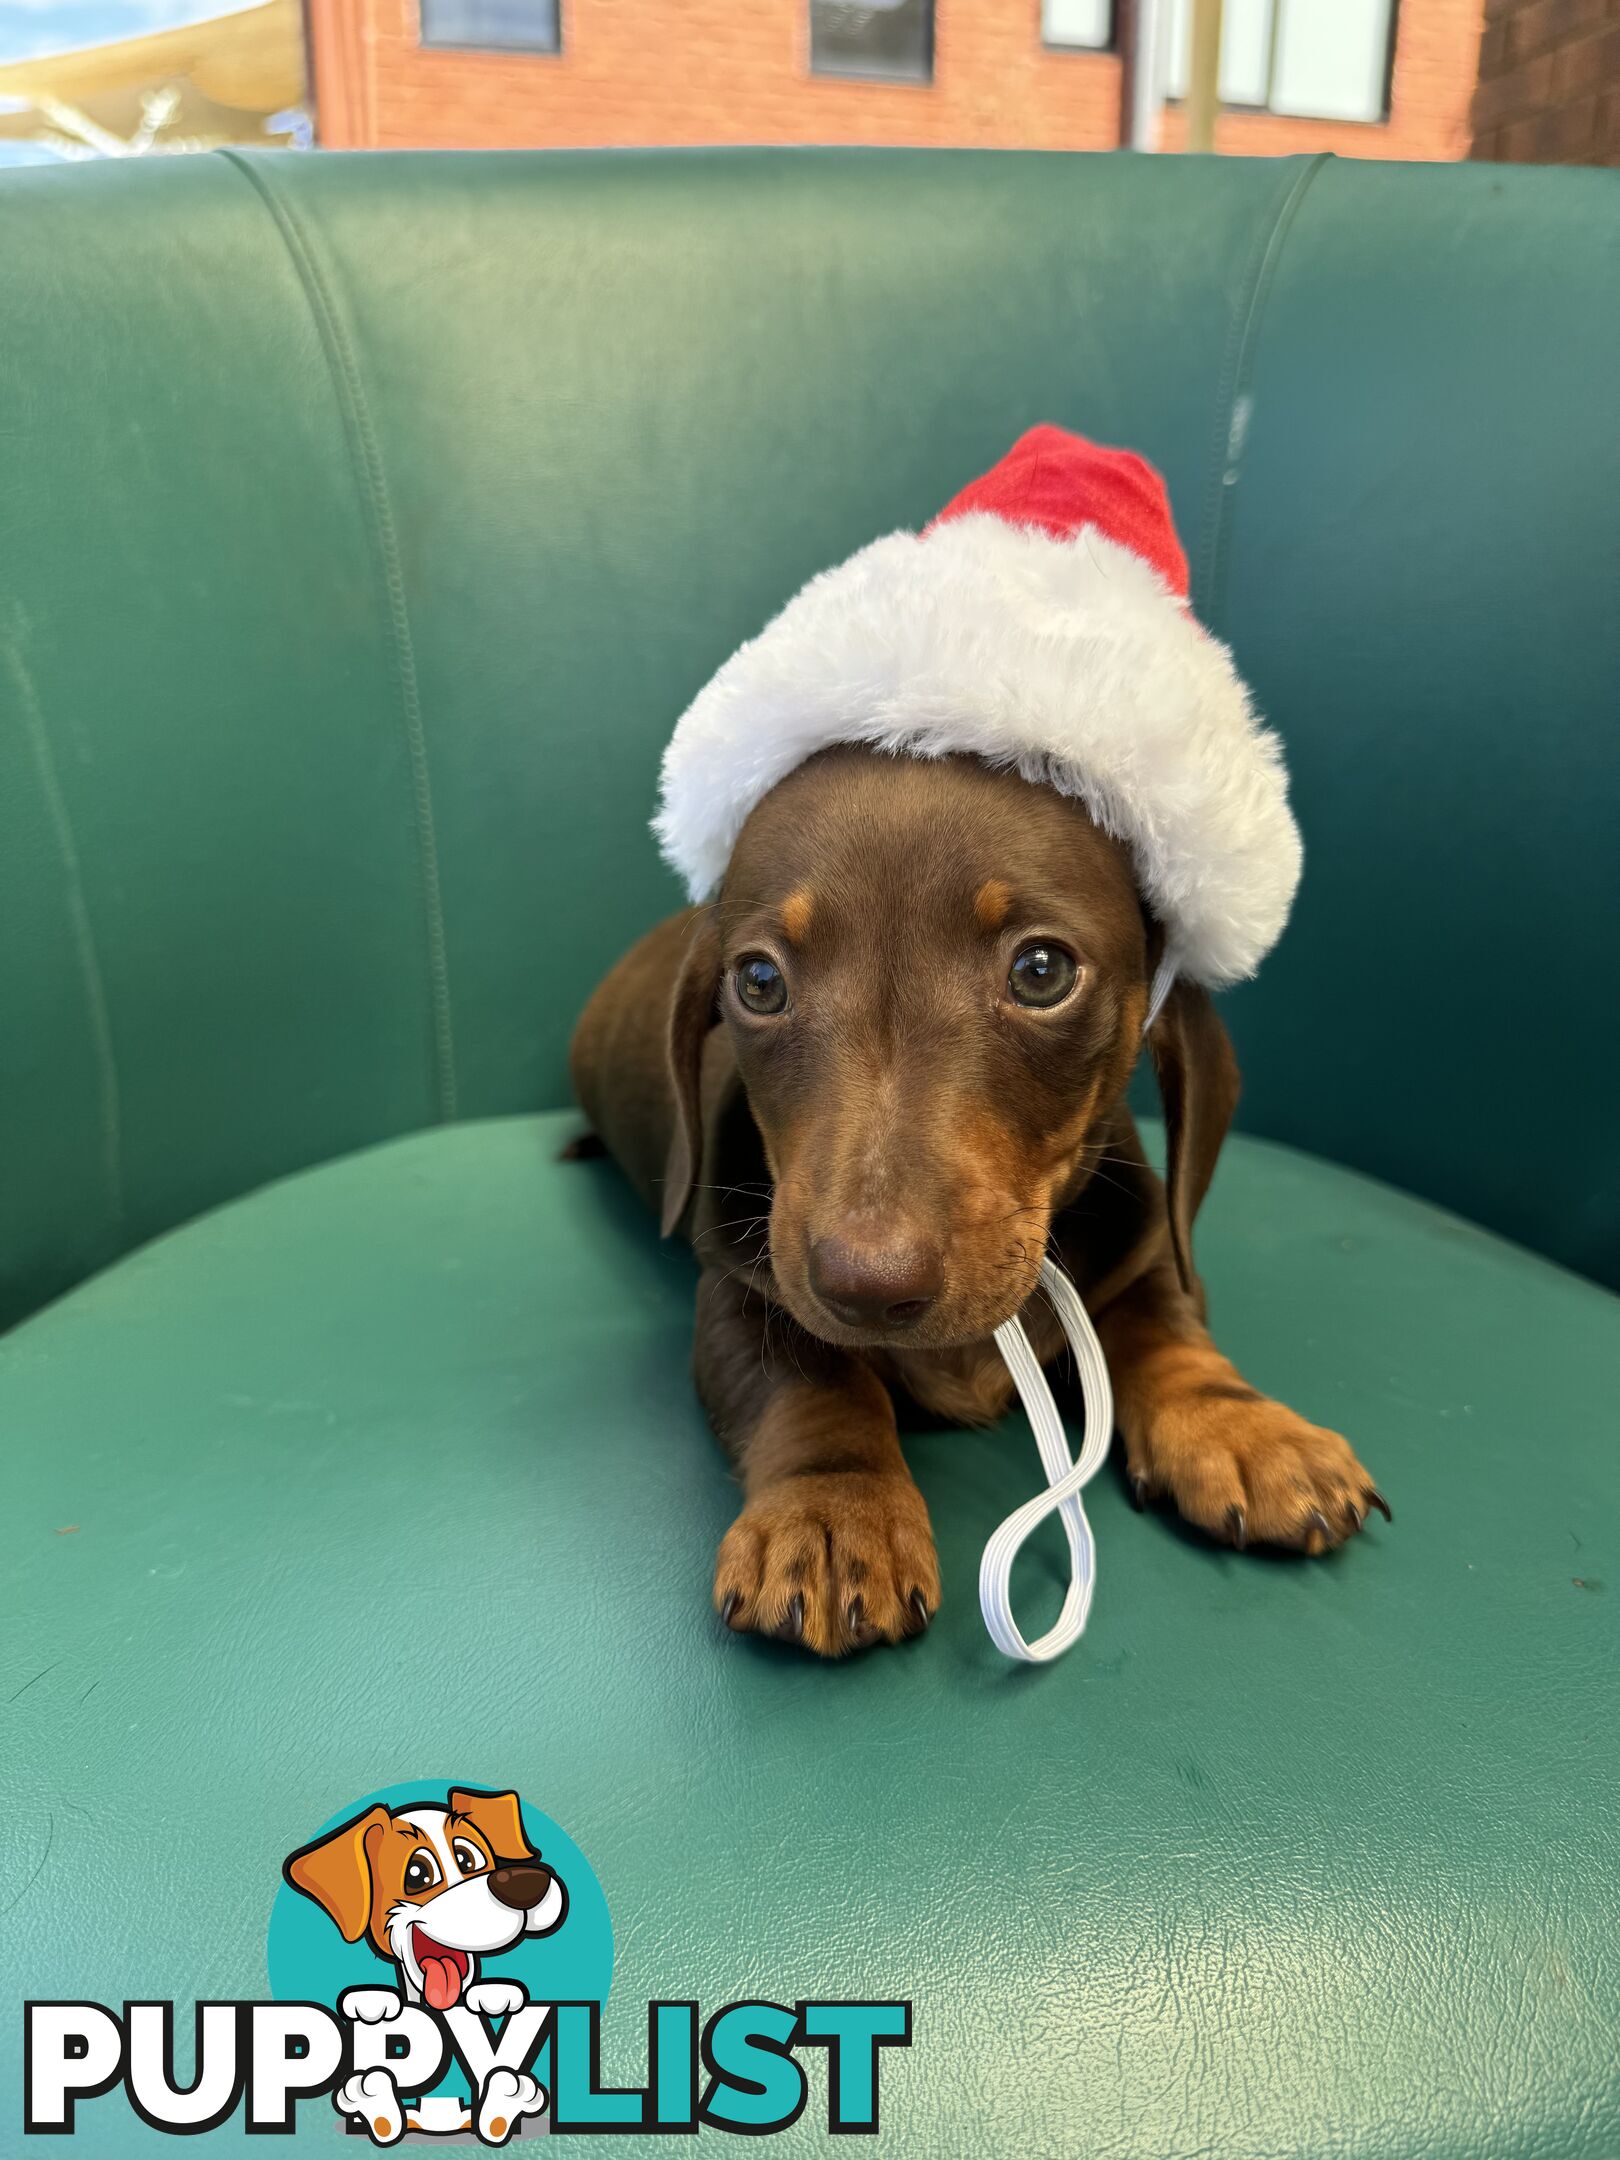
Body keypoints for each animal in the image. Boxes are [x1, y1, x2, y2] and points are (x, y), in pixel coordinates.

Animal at [570, 743, 1382, 1650]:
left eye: (1041, 970)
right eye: (757, 980)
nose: (866, 1288)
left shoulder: (1146, 1250)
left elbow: (1163, 1328)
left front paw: (1244, 1428)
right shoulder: (742, 1292)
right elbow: (814, 1385)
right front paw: (832, 1511)